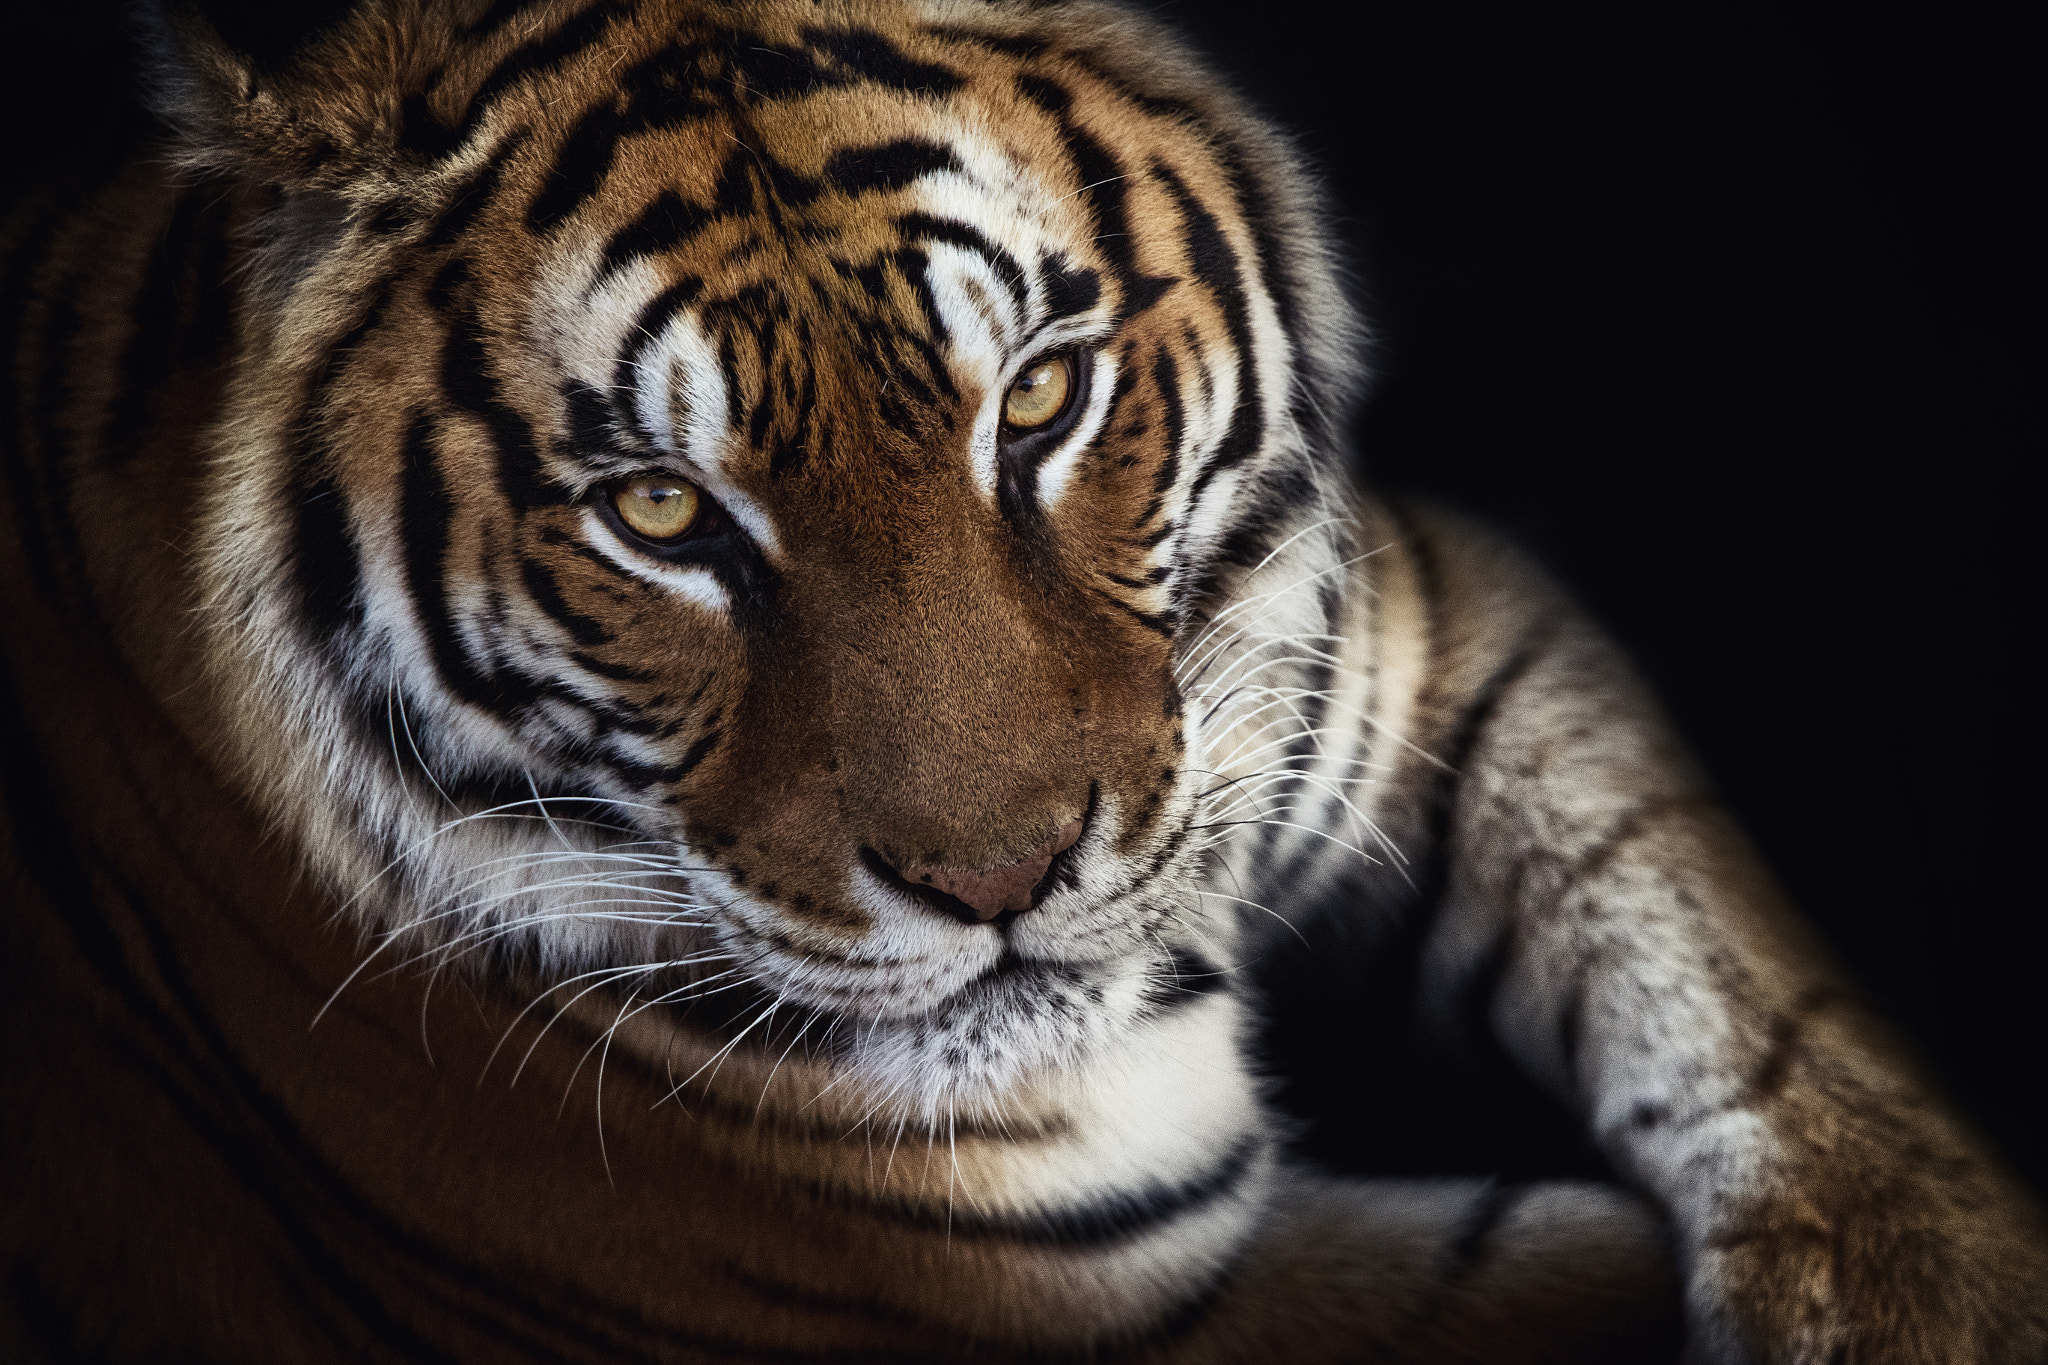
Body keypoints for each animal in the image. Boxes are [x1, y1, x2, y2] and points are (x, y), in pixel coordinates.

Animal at [2, 0, 2043, 1359]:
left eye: (1042, 397)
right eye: (660, 510)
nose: (999, 883)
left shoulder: (1390, 642)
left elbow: (1721, 961)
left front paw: (1924, 1292)